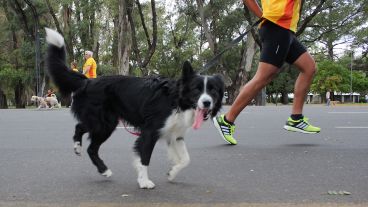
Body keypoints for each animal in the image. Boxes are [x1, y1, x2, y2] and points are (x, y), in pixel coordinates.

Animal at [46, 28, 224, 188]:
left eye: (213, 91)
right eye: (196, 90)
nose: (207, 103)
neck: (176, 100)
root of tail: (87, 81)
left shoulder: (175, 133)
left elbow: (186, 159)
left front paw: (172, 173)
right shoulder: (150, 131)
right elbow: (144, 157)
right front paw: (144, 181)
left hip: (105, 122)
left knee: (86, 137)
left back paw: (98, 165)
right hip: (103, 123)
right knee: (85, 135)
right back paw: (89, 156)